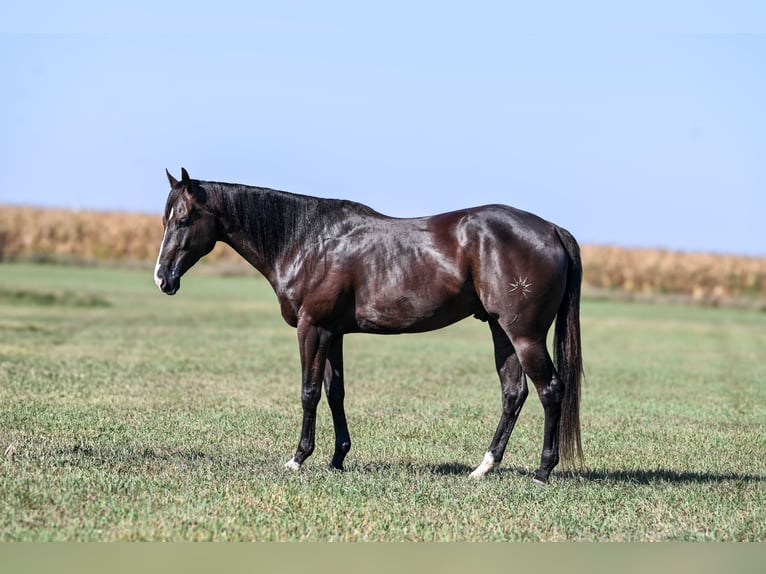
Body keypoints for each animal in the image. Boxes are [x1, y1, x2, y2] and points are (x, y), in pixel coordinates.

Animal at [154, 168, 583, 485]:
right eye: (164, 219)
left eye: (183, 218)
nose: (162, 278)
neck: (307, 241)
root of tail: (552, 229)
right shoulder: (333, 332)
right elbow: (335, 392)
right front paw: (337, 458)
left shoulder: (312, 328)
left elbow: (309, 392)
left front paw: (298, 458)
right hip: (500, 330)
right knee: (513, 393)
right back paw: (484, 467)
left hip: (524, 335)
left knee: (549, 389)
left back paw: (543, 471)